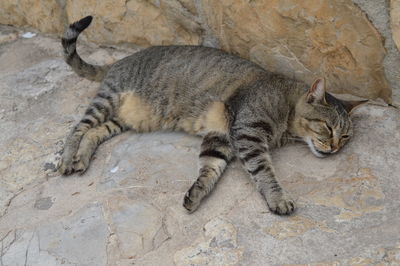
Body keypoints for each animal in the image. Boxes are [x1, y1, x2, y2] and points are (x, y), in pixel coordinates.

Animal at [58, 16, 366, 216]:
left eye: (346, 136)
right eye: (327, 127)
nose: (335, 147)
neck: (286, 105)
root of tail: (118, 60)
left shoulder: (221, 137)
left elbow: (209, 169)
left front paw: (195, 194)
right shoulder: (247, 133)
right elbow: (264, 172)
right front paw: (278, 198)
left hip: (121, 119)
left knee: (93, 132)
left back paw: (81, 158)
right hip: (107, 100)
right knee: (77, 129)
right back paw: (67, 159)